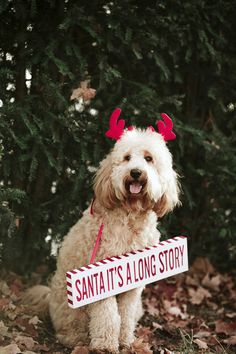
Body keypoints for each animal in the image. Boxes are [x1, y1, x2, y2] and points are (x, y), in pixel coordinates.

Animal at [23, 110, 179, 352]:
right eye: (126, 158)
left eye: (148, 158)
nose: (135, 172)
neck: (130, 215)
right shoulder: (102, 275)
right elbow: (108, 315)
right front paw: (106, 344)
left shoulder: (135, 284)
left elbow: (125, 314)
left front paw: (125, 340)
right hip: (69, 305)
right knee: (69, 326)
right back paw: (75, 339)